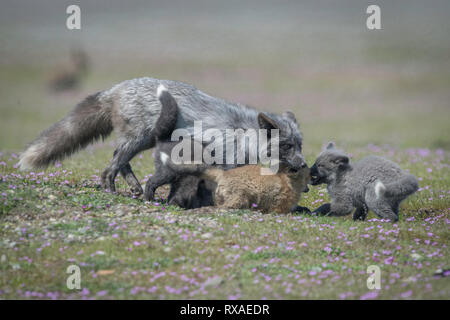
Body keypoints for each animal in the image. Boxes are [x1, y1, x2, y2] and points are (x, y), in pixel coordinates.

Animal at [18, 77, 306, 205]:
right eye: (287, 146)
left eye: (300, 145)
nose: (304, 165)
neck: (244, 136)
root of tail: (116, 88)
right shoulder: (225, 165)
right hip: (137, 140)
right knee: (111, 168)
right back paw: (112, 191)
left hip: (142, 141)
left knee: (118, 160)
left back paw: (135, 189)